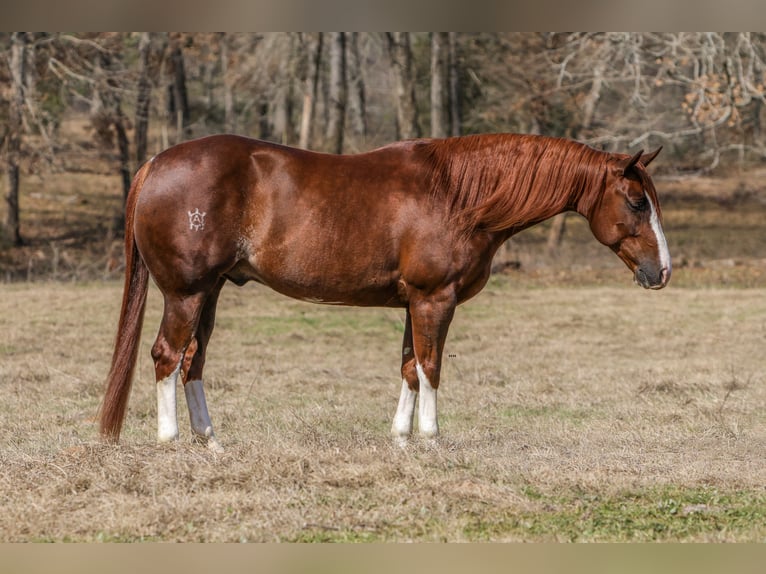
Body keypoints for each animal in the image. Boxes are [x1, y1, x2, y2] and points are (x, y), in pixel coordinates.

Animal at [99, 133, 670, 451]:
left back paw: (211, 443)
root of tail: (155, 164)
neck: (457, 195)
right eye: (636, 202)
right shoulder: (434, 299)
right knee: (167, 356)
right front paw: (431, 439)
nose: (662, 271)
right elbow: (431, 366)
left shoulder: (413, 302)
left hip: (211, 293)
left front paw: (401, 438)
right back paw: (171, 441)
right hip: (186, 293)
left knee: (192, 360)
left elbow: (409, 367)